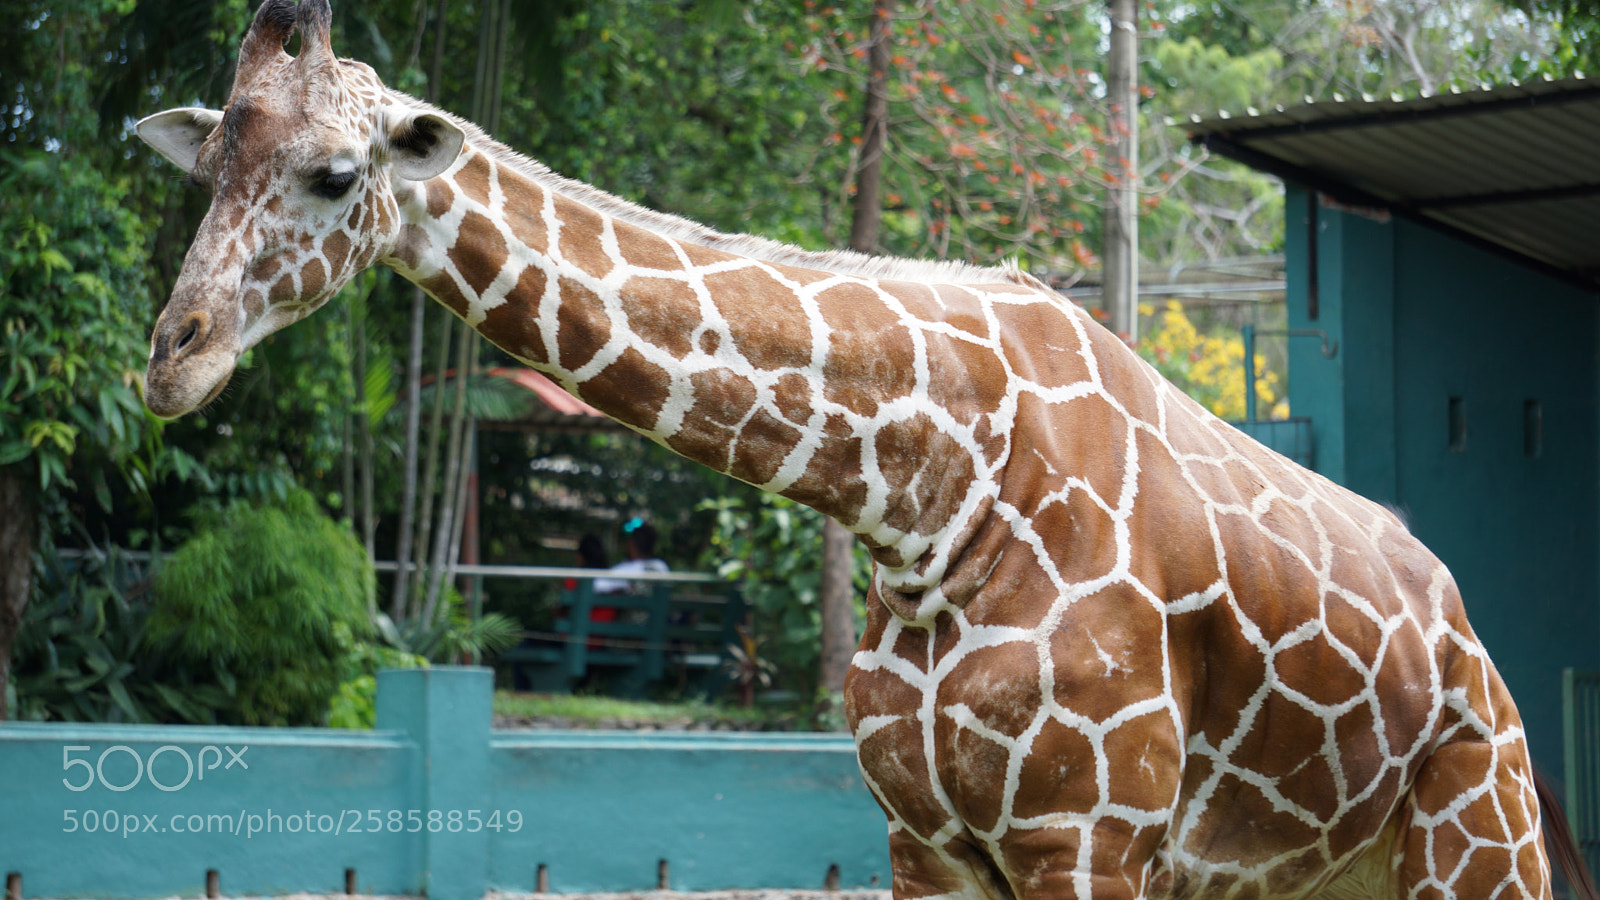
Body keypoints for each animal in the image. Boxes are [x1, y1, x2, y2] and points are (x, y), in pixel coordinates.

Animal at [138, 3, 1591, 899]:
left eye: (336, 174)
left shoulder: (1086, 837)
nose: (172, 356)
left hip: (1477, 833)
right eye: (202, 168)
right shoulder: (925, 841)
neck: (926, 495)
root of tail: (1471, 635)